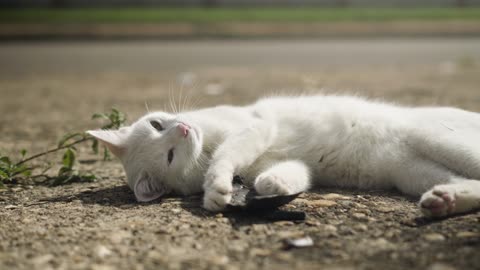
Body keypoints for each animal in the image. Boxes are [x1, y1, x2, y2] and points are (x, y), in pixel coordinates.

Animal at [86, 95, 480, 217]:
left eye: (156, 124)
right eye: (169, 156)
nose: (183, 129)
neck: (204, 145)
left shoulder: (254, 127)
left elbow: (227, 154)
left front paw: (216, 187)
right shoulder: (281, 160)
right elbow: (288, 174)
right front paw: (271, 184)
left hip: (436, 140)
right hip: (413, 171)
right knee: (469, 184)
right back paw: (444, 201)